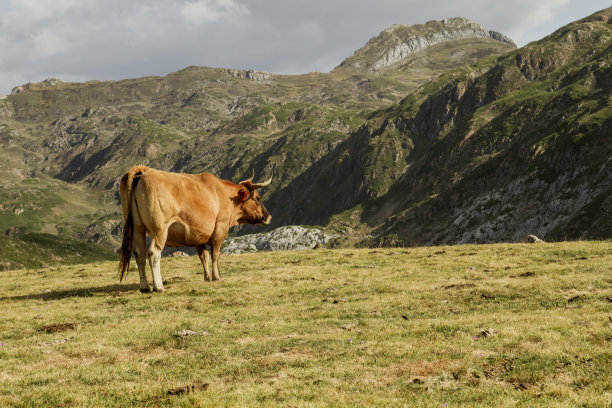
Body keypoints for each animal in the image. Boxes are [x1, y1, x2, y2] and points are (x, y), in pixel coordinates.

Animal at [118, 166, 272, 294]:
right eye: (258, 198)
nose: (268, 216)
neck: (225, 194)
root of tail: (145, 170)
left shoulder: (198, 235)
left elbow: (204, 256)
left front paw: (207, 277)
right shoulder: (220, 229)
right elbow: (215, 254)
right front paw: (217, 276)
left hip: (137, 227)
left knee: (139, 255)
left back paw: (144, 287)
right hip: (159, 228)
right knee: (153, 253)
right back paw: (159, 287)